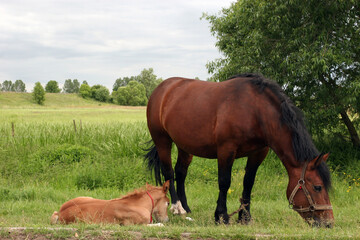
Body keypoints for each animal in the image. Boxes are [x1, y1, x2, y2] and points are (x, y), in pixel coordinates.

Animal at [144, 74, 334, 228]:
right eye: (318, 187)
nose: (329, 223)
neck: (255, 110)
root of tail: (162, 89)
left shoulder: (259, 152)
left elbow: (248, 182)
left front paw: (245, 217)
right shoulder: (226, 150)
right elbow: (224, 182)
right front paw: (221, 216)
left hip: (185, 146)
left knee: (180, 172)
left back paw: (186, 208)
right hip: (163, 141)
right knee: (169, 172)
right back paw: (177, 208)